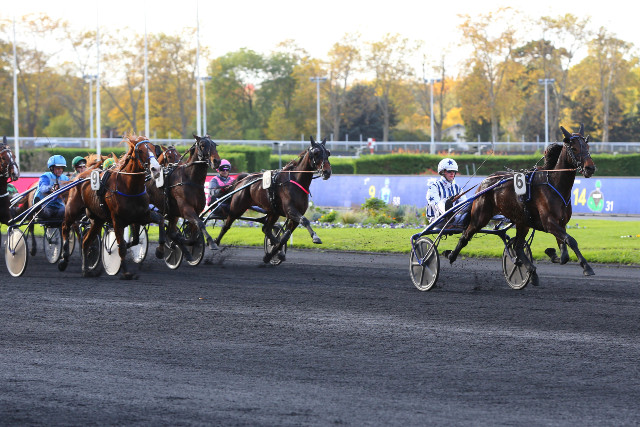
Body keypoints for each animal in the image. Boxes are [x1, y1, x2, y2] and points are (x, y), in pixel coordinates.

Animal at [58, 135, 166, 279]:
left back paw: (86, 269)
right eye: (140, 150)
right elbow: (122, 246)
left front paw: (160, 250)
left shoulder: (140, 216)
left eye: (154, 149)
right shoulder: (117, 220)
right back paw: (63, 259)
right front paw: (126, 272)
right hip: (72, 210)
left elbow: (156, 223)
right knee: (65, 226)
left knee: (85, 242)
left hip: (97, 220)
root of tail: (80, 176)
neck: (130, 187)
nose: (156, 169)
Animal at [445, 124, 597, 284]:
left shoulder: (560, 223)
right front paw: (587, 267)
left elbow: (564, 255)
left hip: (522, 221)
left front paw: (552, 253)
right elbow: (570, 240)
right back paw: (451, 255)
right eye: (574, 148)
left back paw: (531, 272)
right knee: (466, 234)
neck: (554, 184)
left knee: (517, 247)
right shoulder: (549, 223)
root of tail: (484, 182)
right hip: (480, 217)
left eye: (587, 146)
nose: (590, 168)